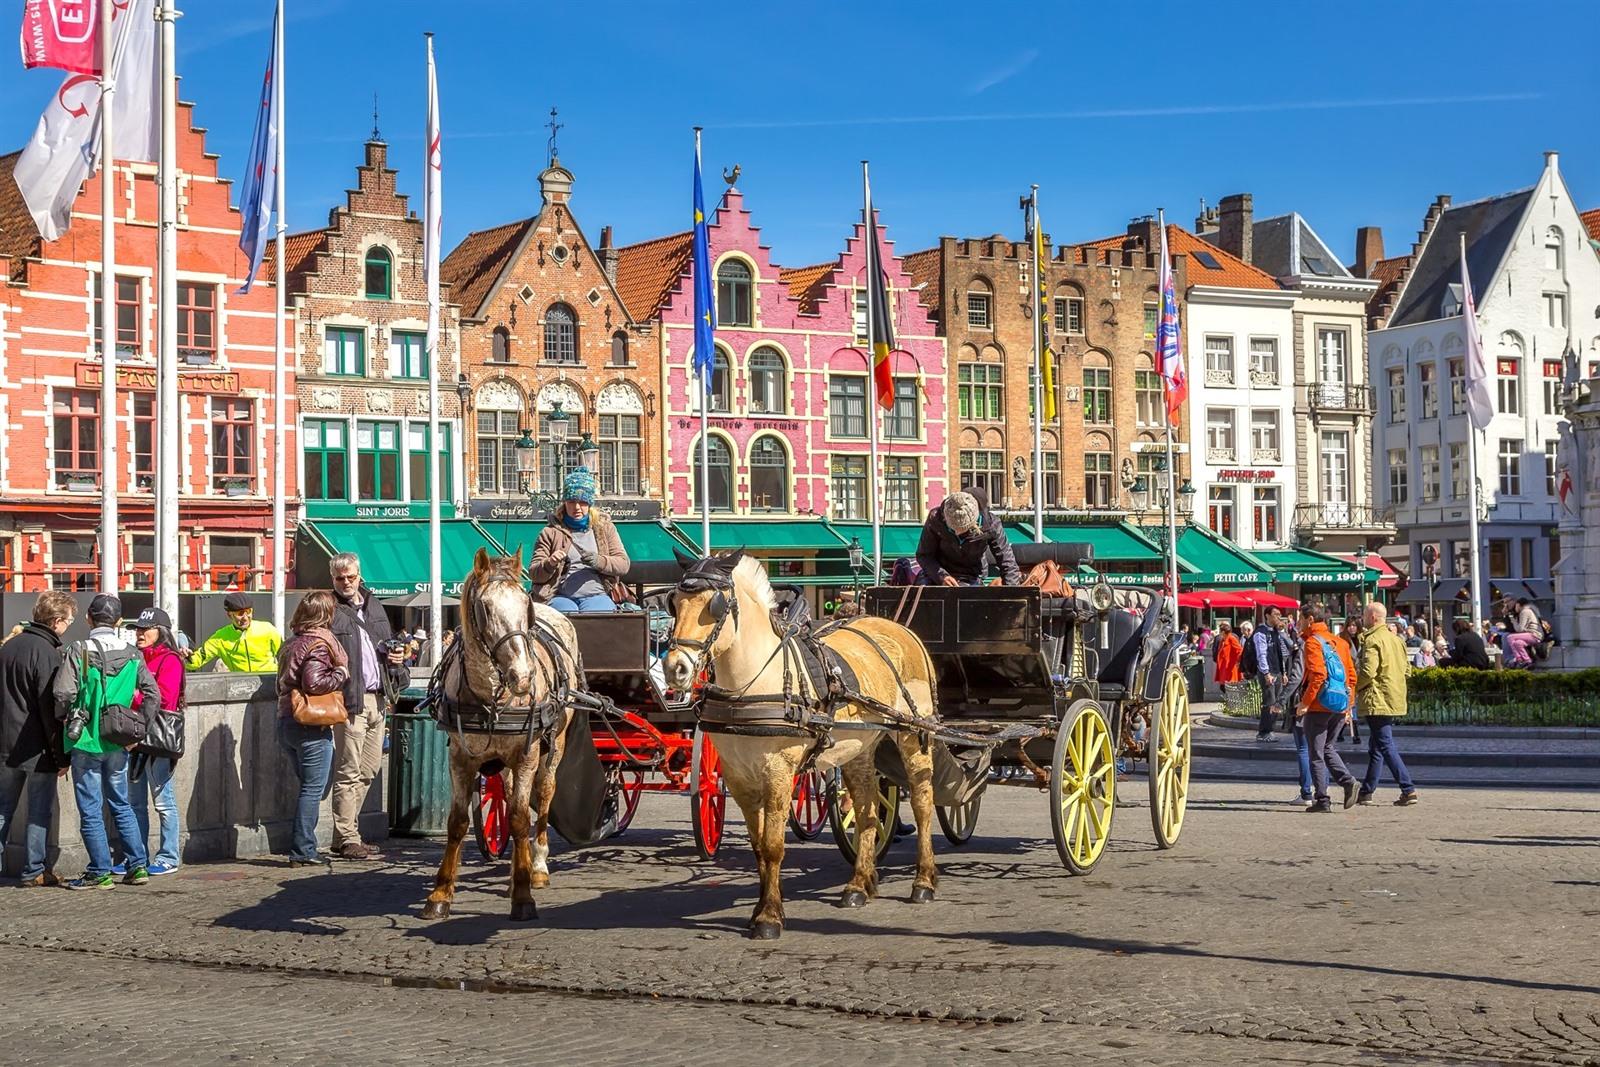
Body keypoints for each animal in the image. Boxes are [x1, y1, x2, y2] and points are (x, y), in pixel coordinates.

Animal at [419, 547, 582, 921]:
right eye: (486, 608)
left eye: (526, 605)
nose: (523, 676)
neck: (490, 696)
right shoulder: (459, 758)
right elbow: (457, 822)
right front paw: (440, 893)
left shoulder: (526, 754)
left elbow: (521, 819)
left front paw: (523, 895)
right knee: (506, 797)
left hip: (554, 743)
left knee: (544, 794)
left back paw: (536, 866)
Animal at [659, 556, 934, 940]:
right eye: (674, 603)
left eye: (715, 606)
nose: (676, 669)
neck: (754, 682)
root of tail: (902, 630)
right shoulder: (738, 776)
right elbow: (758, 846)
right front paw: (759, 909)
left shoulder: (778, 770)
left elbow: (774, 846)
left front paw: (769, 917)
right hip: (859, 745)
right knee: (866, 811)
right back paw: (859, 884)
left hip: (913, 735)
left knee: (923, 804)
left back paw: (923, 881)